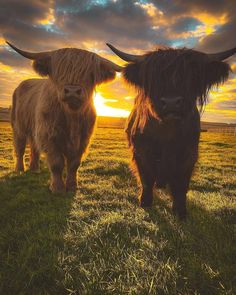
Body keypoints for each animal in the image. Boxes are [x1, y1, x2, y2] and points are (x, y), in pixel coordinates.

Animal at [7, 42, 121, 194]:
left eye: (90, 74)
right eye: (59, 71)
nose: (72, 91)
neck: (71, 116)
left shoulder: (83, 139)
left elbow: (74, 164)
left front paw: (72, 186)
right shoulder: (49, 136)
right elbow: (56, 163)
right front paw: (57, 188)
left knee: (34, 147)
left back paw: (35, 169)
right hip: (18, 126)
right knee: (20, 147)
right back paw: (20, 169)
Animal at [107, 43, 236, 220]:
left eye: (190, 76)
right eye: (154, 78)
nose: (171, 102)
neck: (166, 132)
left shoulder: (189, 153)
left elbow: (181, 184)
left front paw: (180, 211)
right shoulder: (141, 151)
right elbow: (146, 178)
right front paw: (145, 202)